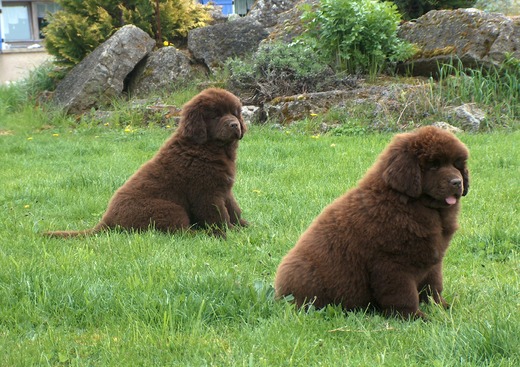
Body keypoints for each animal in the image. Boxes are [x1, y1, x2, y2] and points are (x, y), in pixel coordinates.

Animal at [45, 88, 248, 239]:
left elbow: (233, 208)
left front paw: (243, 225)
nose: (234, 124)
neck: (207, 147)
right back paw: (204, 234)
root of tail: (107, 221)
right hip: (170, 209)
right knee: (180, 231)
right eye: (215, 116)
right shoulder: (207, 193)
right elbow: (219, 215)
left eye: (235, 113)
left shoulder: (224, 189)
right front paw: (229, 232)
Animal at [276, 126, 472, 320]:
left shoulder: (433, 260)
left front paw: (442, 307)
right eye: (433, 165)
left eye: (457, 164)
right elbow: (404, 294)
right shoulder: (392, 264)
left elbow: (433, 287)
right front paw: (414, 317)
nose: (457, 182)